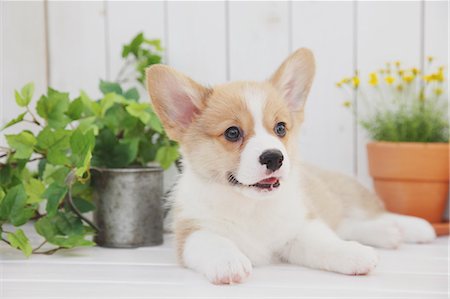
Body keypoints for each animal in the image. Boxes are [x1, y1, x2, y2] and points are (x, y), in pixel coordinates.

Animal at [146, 49, 438, 286]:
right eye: (232, 132)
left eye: (280, 128)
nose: (274, 157)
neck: (251, 206)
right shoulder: (190, 232)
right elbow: (213, 241)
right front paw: (228, 262)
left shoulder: (299, 228)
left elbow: (325, 243)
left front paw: (351, 253)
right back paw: (389, 233)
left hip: (344, 194)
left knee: (367, 214)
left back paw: (412, 227)